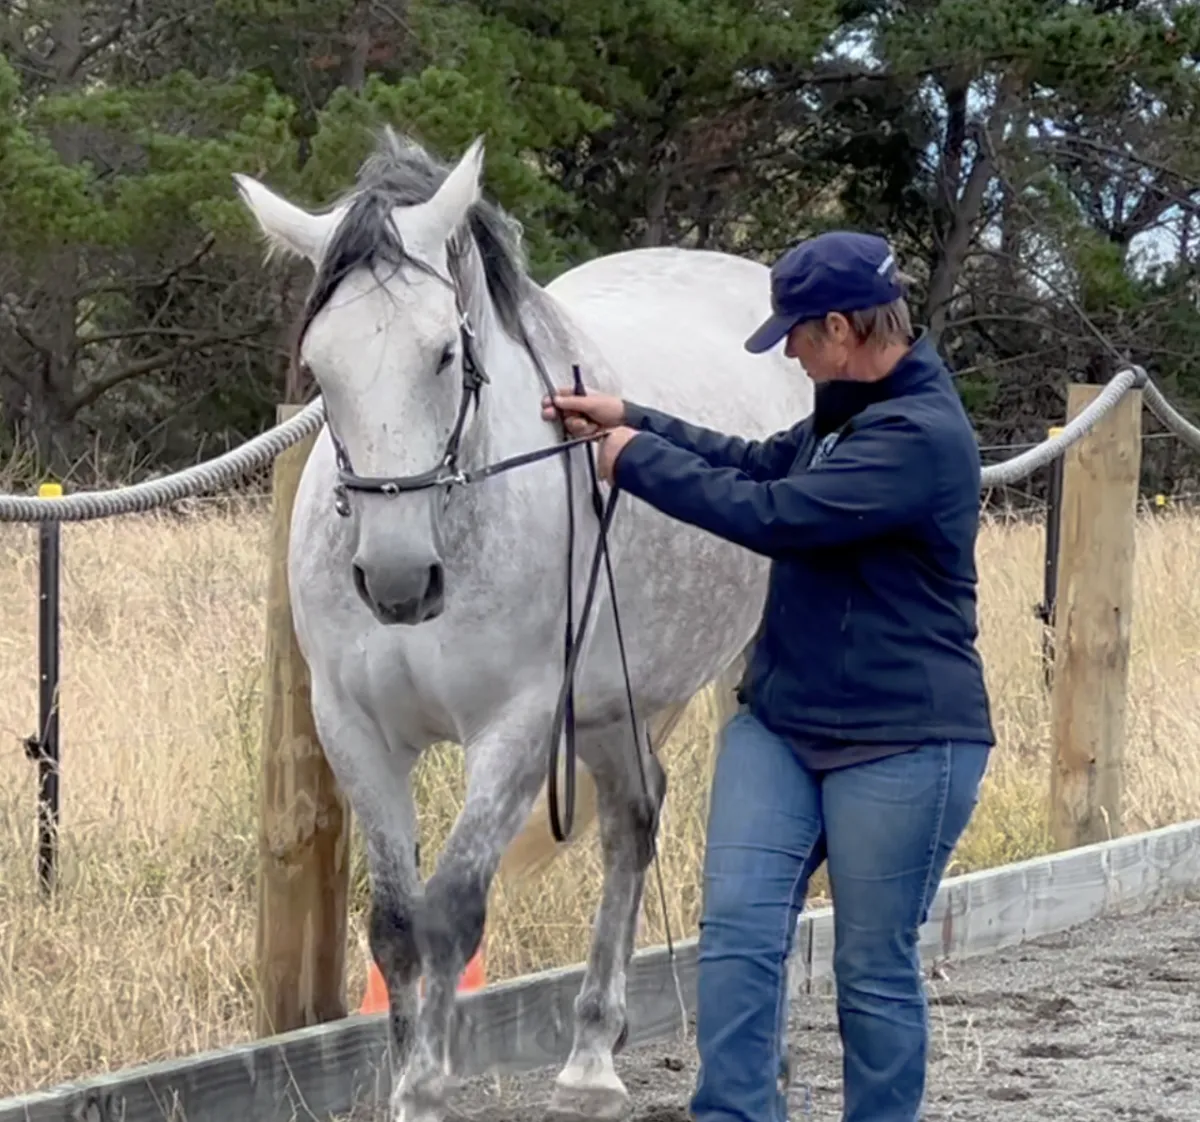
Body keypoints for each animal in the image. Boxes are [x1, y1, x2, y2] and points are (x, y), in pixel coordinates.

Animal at [234, 128, 814, 1122]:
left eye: (442, 352)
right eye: (320, 364)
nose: (396, 579)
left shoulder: (518, 727)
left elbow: (452, 913)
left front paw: (429, 1088)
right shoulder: (355, 731)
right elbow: (397, 927)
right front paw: (407, 1088)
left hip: (738, 676)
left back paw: (759, 1058)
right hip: (614, 698)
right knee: (632, 823)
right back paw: (589, 1057)